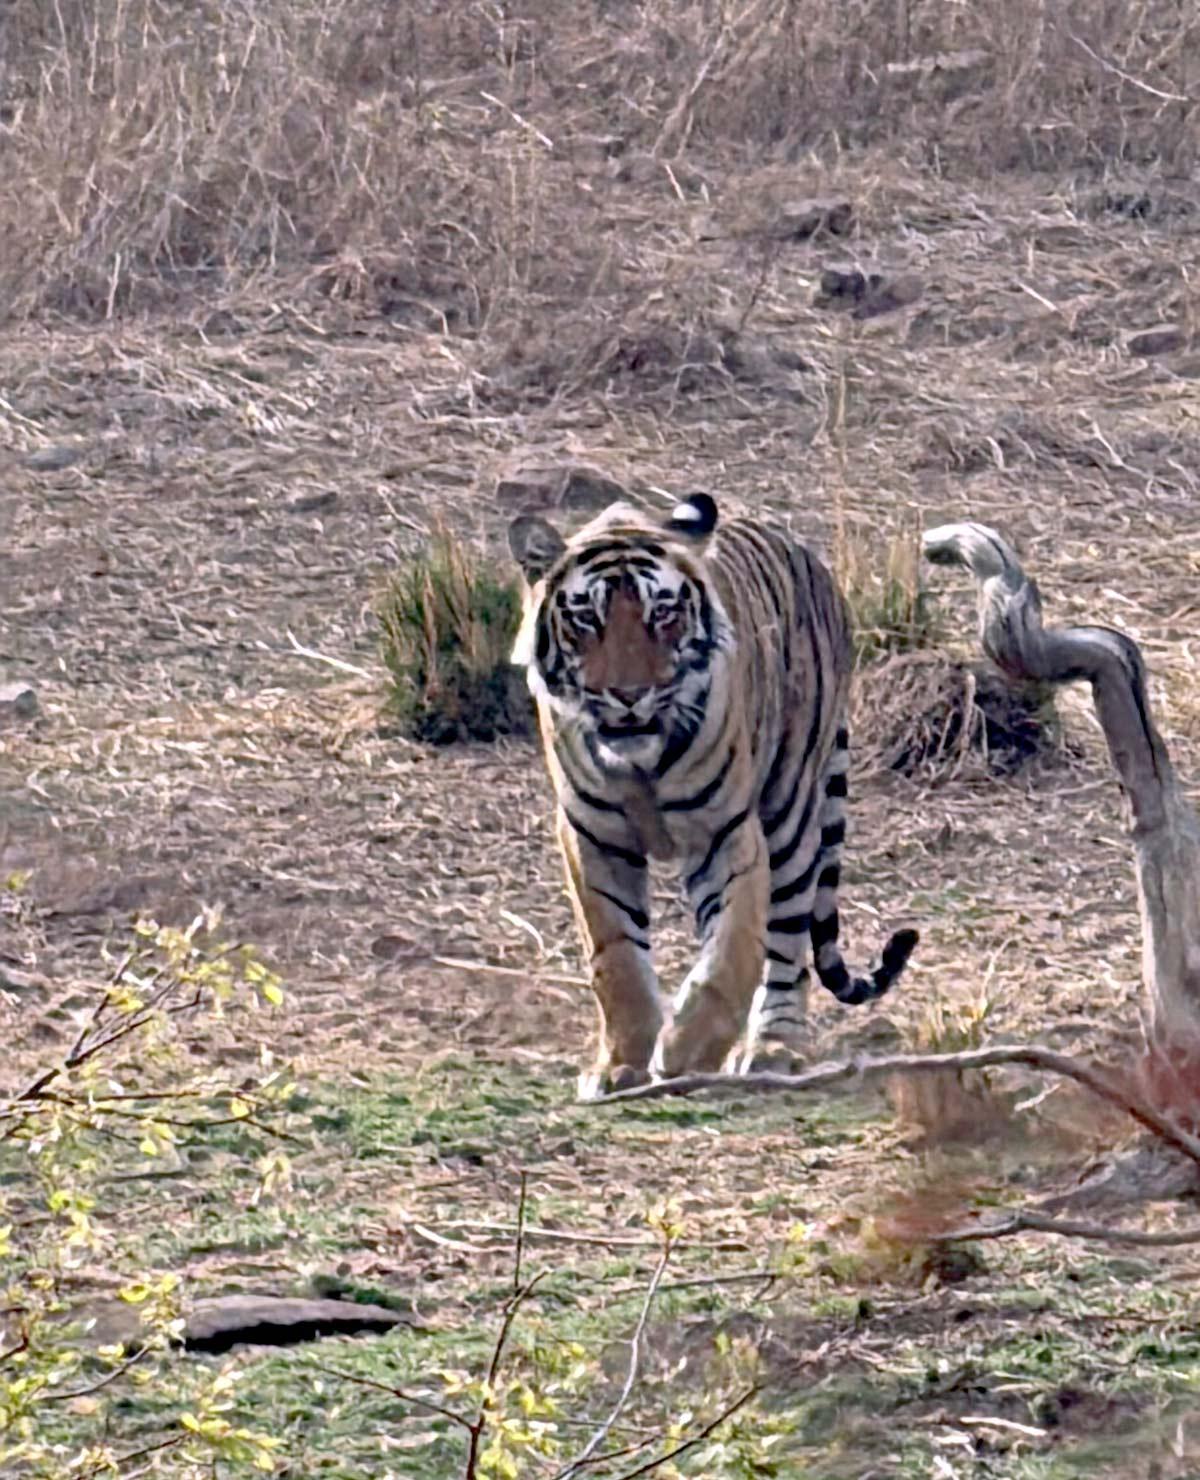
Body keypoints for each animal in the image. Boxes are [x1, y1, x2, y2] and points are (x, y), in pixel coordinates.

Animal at [507, 492, 917, 1099]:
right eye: (587, 617)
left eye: (662, 613)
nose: (629, 695)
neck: (640, 763)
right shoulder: (592, 834)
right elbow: (617, 955)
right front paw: (621, 1065)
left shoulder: (727, 832)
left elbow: (734, 949)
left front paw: (688, 1051)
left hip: (793, 810)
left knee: (788, 943)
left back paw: (776, 1047)